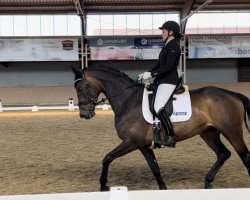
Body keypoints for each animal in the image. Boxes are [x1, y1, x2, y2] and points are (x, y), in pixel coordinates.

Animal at [71, 65, 250, 191]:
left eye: (79, 88)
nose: (84, 114)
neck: (128, 99)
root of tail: (233, 94)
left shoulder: (131, 142)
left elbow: (107, 158)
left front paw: (103, 185)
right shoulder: (143, 146)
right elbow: (155, 168)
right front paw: (163, 188)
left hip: (232, 132)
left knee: (245, 156)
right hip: (209, 134)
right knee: (223, 154)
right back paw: (208, 182)